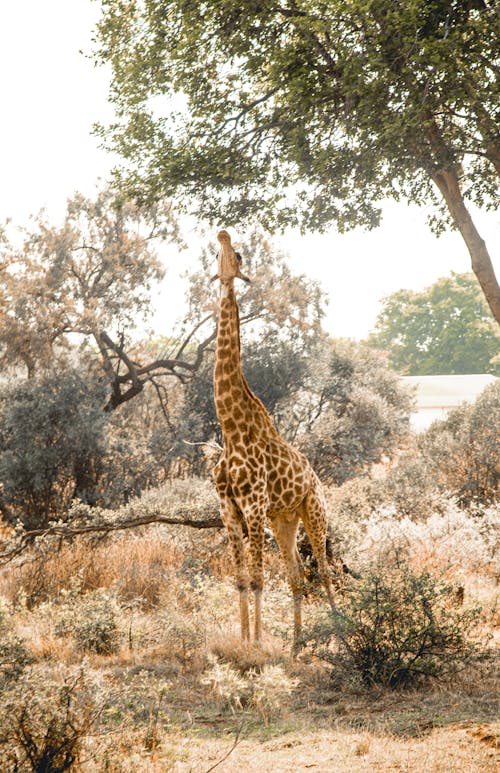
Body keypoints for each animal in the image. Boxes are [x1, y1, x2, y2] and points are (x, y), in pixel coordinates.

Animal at [211, 229, 336, 652]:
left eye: (238, 255)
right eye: (219, 253)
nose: (223, 232)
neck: (231, 430)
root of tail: (316, 478)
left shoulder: (253, 506)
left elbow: (259, 579)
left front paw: (256, 646)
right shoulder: (229, 510)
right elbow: (241, 580)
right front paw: (242, 641)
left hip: (314, 512)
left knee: (325, 572)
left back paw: (342, 637)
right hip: (284, 521)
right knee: (297, 576)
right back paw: (296, 646)